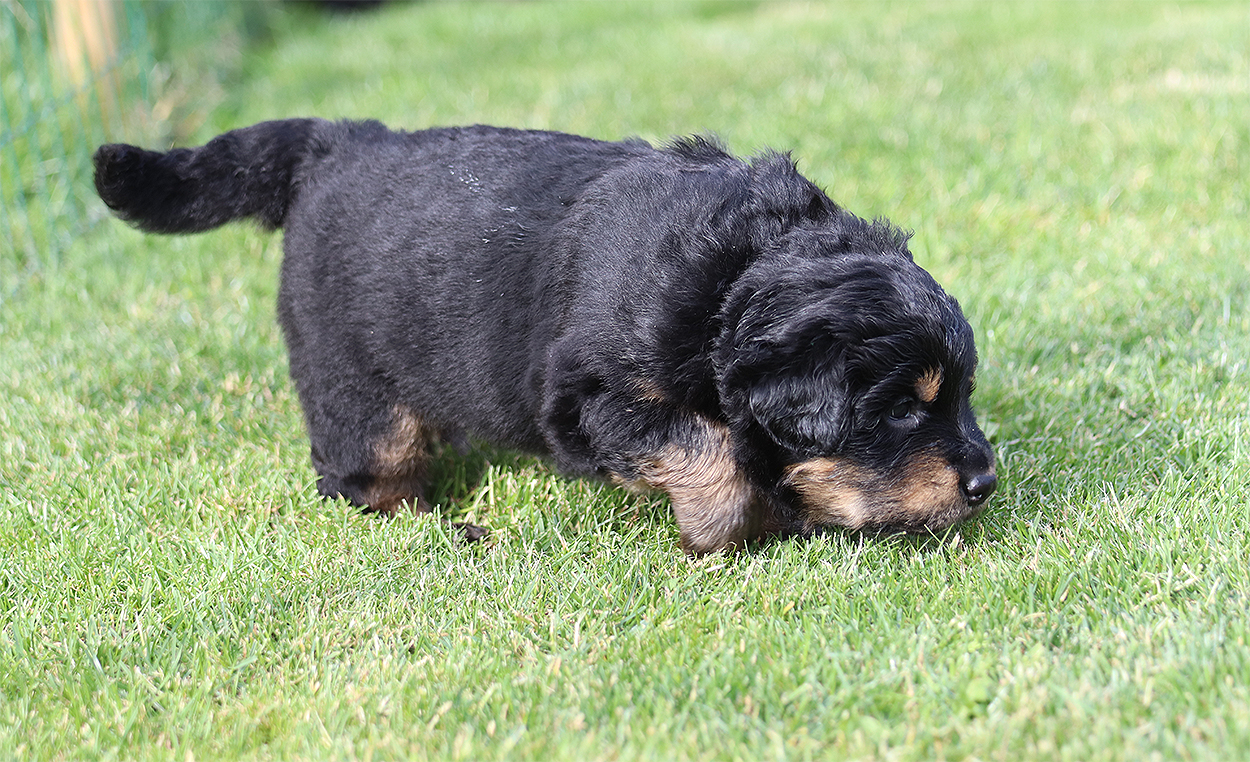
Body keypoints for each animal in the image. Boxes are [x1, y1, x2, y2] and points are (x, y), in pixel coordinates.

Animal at [93, 119, 996, 553]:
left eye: (961, 394)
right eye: (902, 410)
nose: (986, 483)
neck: (733, 274)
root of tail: (338, 139)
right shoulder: (592, 399)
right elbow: (709, 448)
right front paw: (726, 531)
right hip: (352, 381)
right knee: (362, 477)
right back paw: (438, 526)